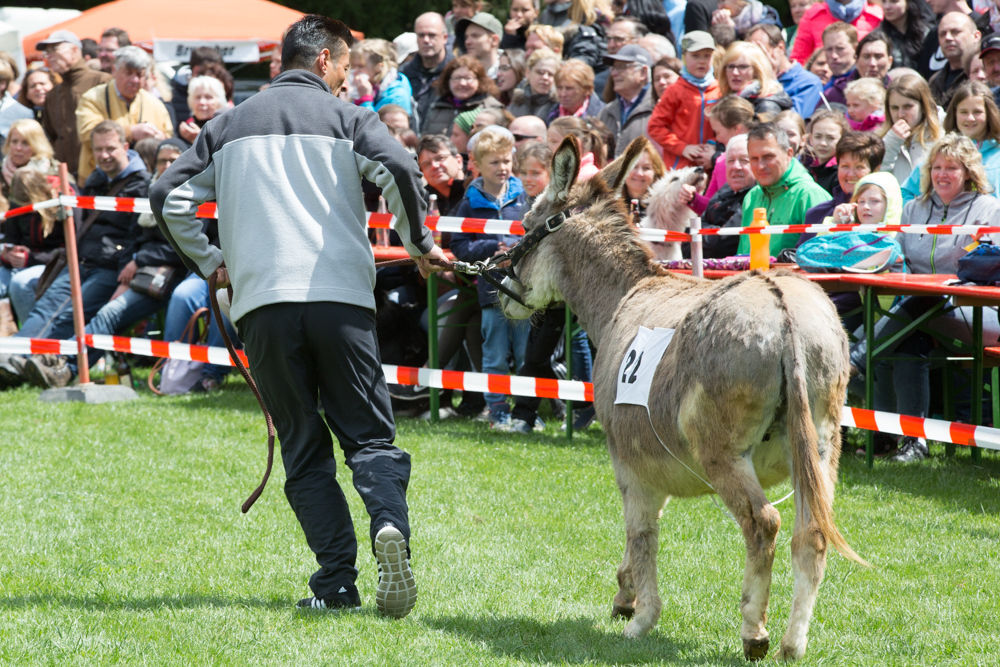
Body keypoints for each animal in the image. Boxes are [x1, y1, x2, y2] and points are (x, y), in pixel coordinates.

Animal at [498, 136, 866, 661]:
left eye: (527, 224)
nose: (502, 293)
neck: (627, 293)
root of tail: (783, 310)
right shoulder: (656, 463)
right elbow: (642, 537)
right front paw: (625, 594)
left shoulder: (628, 463)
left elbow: (642, 535)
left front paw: (640, 618)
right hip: (818, 448)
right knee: (812, 533)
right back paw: (793, 644)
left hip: (723, 453)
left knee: (763, 524)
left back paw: (754, 631)